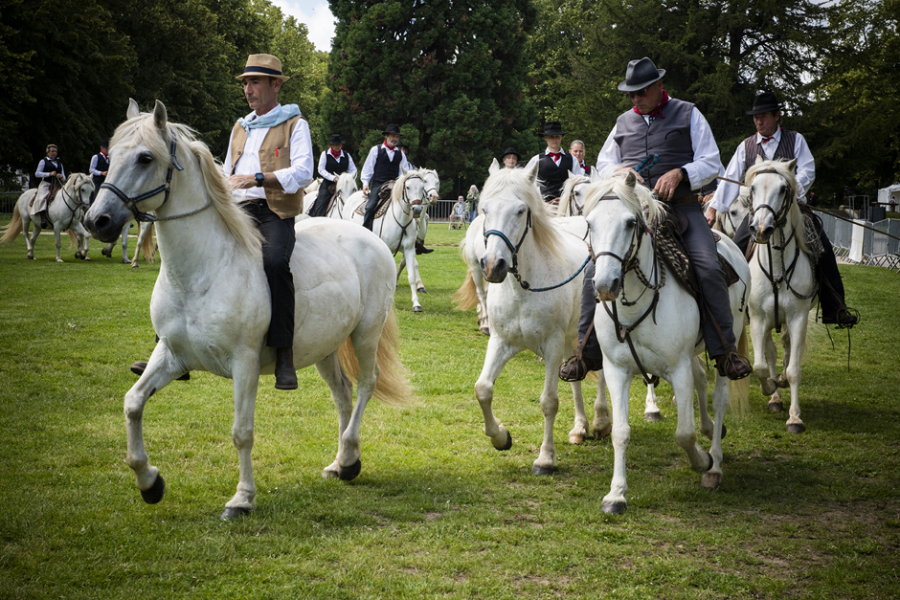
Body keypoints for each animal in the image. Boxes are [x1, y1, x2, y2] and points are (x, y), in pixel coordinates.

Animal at [82, 99, 414, 520]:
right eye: (112, 152)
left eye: (145, 157)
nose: (97, 221)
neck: (203, 271)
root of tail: (369, 238)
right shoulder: (172, 355)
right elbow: (133, 403)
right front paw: (150, 482)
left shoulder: (244, 364)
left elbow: (242, 432)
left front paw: (241, 499)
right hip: (324, 347)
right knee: (343, 393)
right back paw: (341, 462)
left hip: (365, 334)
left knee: (367, 384)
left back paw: (351, 459)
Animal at [344, 168, 428, 310]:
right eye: (408, 187)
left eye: (422, 187)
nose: (416, 209)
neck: (400, 219)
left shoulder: (409, 249)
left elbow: (411, 275)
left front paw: (416, 304)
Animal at [460, 158, 596, 474]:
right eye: (484, 209)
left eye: (521, 211)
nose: (493, 265)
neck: (524, 289)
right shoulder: (501, 342)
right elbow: (482, 389)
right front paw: (501, 437)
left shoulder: (552, 346)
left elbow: (549, 401)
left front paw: (546, 458)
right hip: (572, 340)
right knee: (577, 381)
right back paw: (580, 428)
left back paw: (602, 423)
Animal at [584, 171, 752, 512]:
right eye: (590, 223)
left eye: (630, 223)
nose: (605, 285)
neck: (635, 305)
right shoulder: (617, 370)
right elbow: (620, 432)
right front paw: (616, 494)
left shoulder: (678, 369)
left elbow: (684, 433)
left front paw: (702, 461)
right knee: (701, 380)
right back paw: (710, 430)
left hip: (725, 346)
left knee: (719, 397)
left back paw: (714, 466)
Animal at [744, 157, 816, 434]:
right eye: (753, 188)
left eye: (783, 189)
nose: (761, 229)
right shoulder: (758, 319)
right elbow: (760, 366)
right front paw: (770, 388)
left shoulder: (798, 319)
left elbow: (794, 369)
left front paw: (795, 418)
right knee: (772, 352)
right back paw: (775, 395)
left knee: (785, 348)